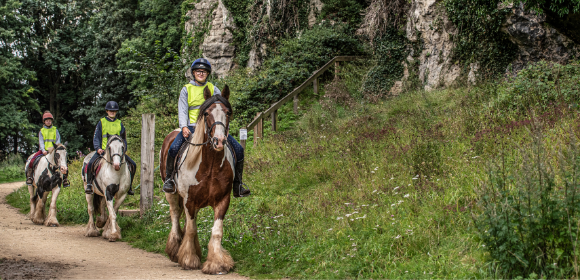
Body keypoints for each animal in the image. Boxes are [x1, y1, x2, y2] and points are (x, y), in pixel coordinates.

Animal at [160, 85, 234, 274]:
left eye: (228, 112)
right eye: (206, 113)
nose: (219, 141)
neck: (210, 166)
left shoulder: (223, 200)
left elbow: (216, 231)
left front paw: (216, 263)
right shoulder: (189, 200)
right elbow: (192, 229)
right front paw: (189, 259)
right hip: (172, 194)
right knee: (175, 215)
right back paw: (175, 250)